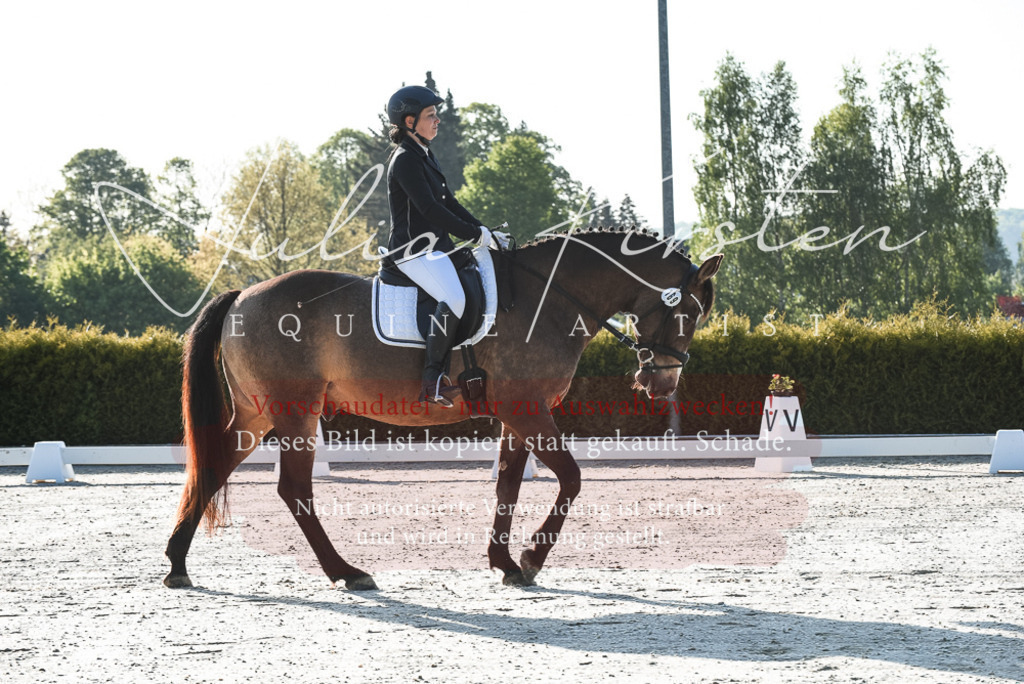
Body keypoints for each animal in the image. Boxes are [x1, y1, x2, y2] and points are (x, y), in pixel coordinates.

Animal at [164, 228, 723, 590]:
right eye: (688, 314)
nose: (660, 383)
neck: (550, 297)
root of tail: (242, 297)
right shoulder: (529, 410)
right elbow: (571, 479)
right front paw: (531, 557)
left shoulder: (519, 413)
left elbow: (508, 484)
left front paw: (505, 563)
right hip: (295, 411)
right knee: (294, 489)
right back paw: (347, 572)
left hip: (258, 414)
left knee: (215, 466)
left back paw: (177, 564)